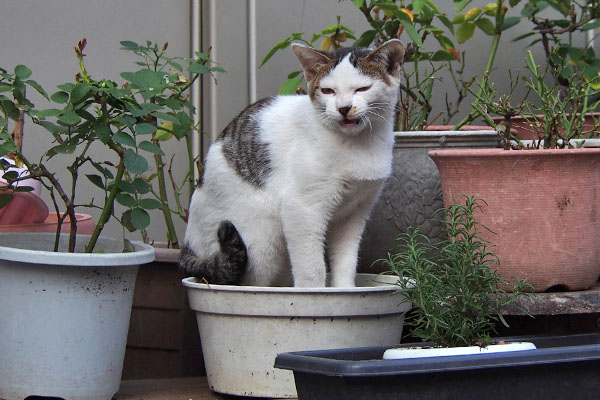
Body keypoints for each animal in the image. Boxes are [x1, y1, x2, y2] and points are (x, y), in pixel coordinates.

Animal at [178, 38, 404, 288]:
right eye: (328, 90)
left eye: (362, 88)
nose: (344, 108)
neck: (359, 145)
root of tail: (188, 242)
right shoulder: (302, 209)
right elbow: (312, 268)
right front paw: (314, 294)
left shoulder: (354, 214)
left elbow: (346, 261)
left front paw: (344, 289)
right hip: (263, 240)